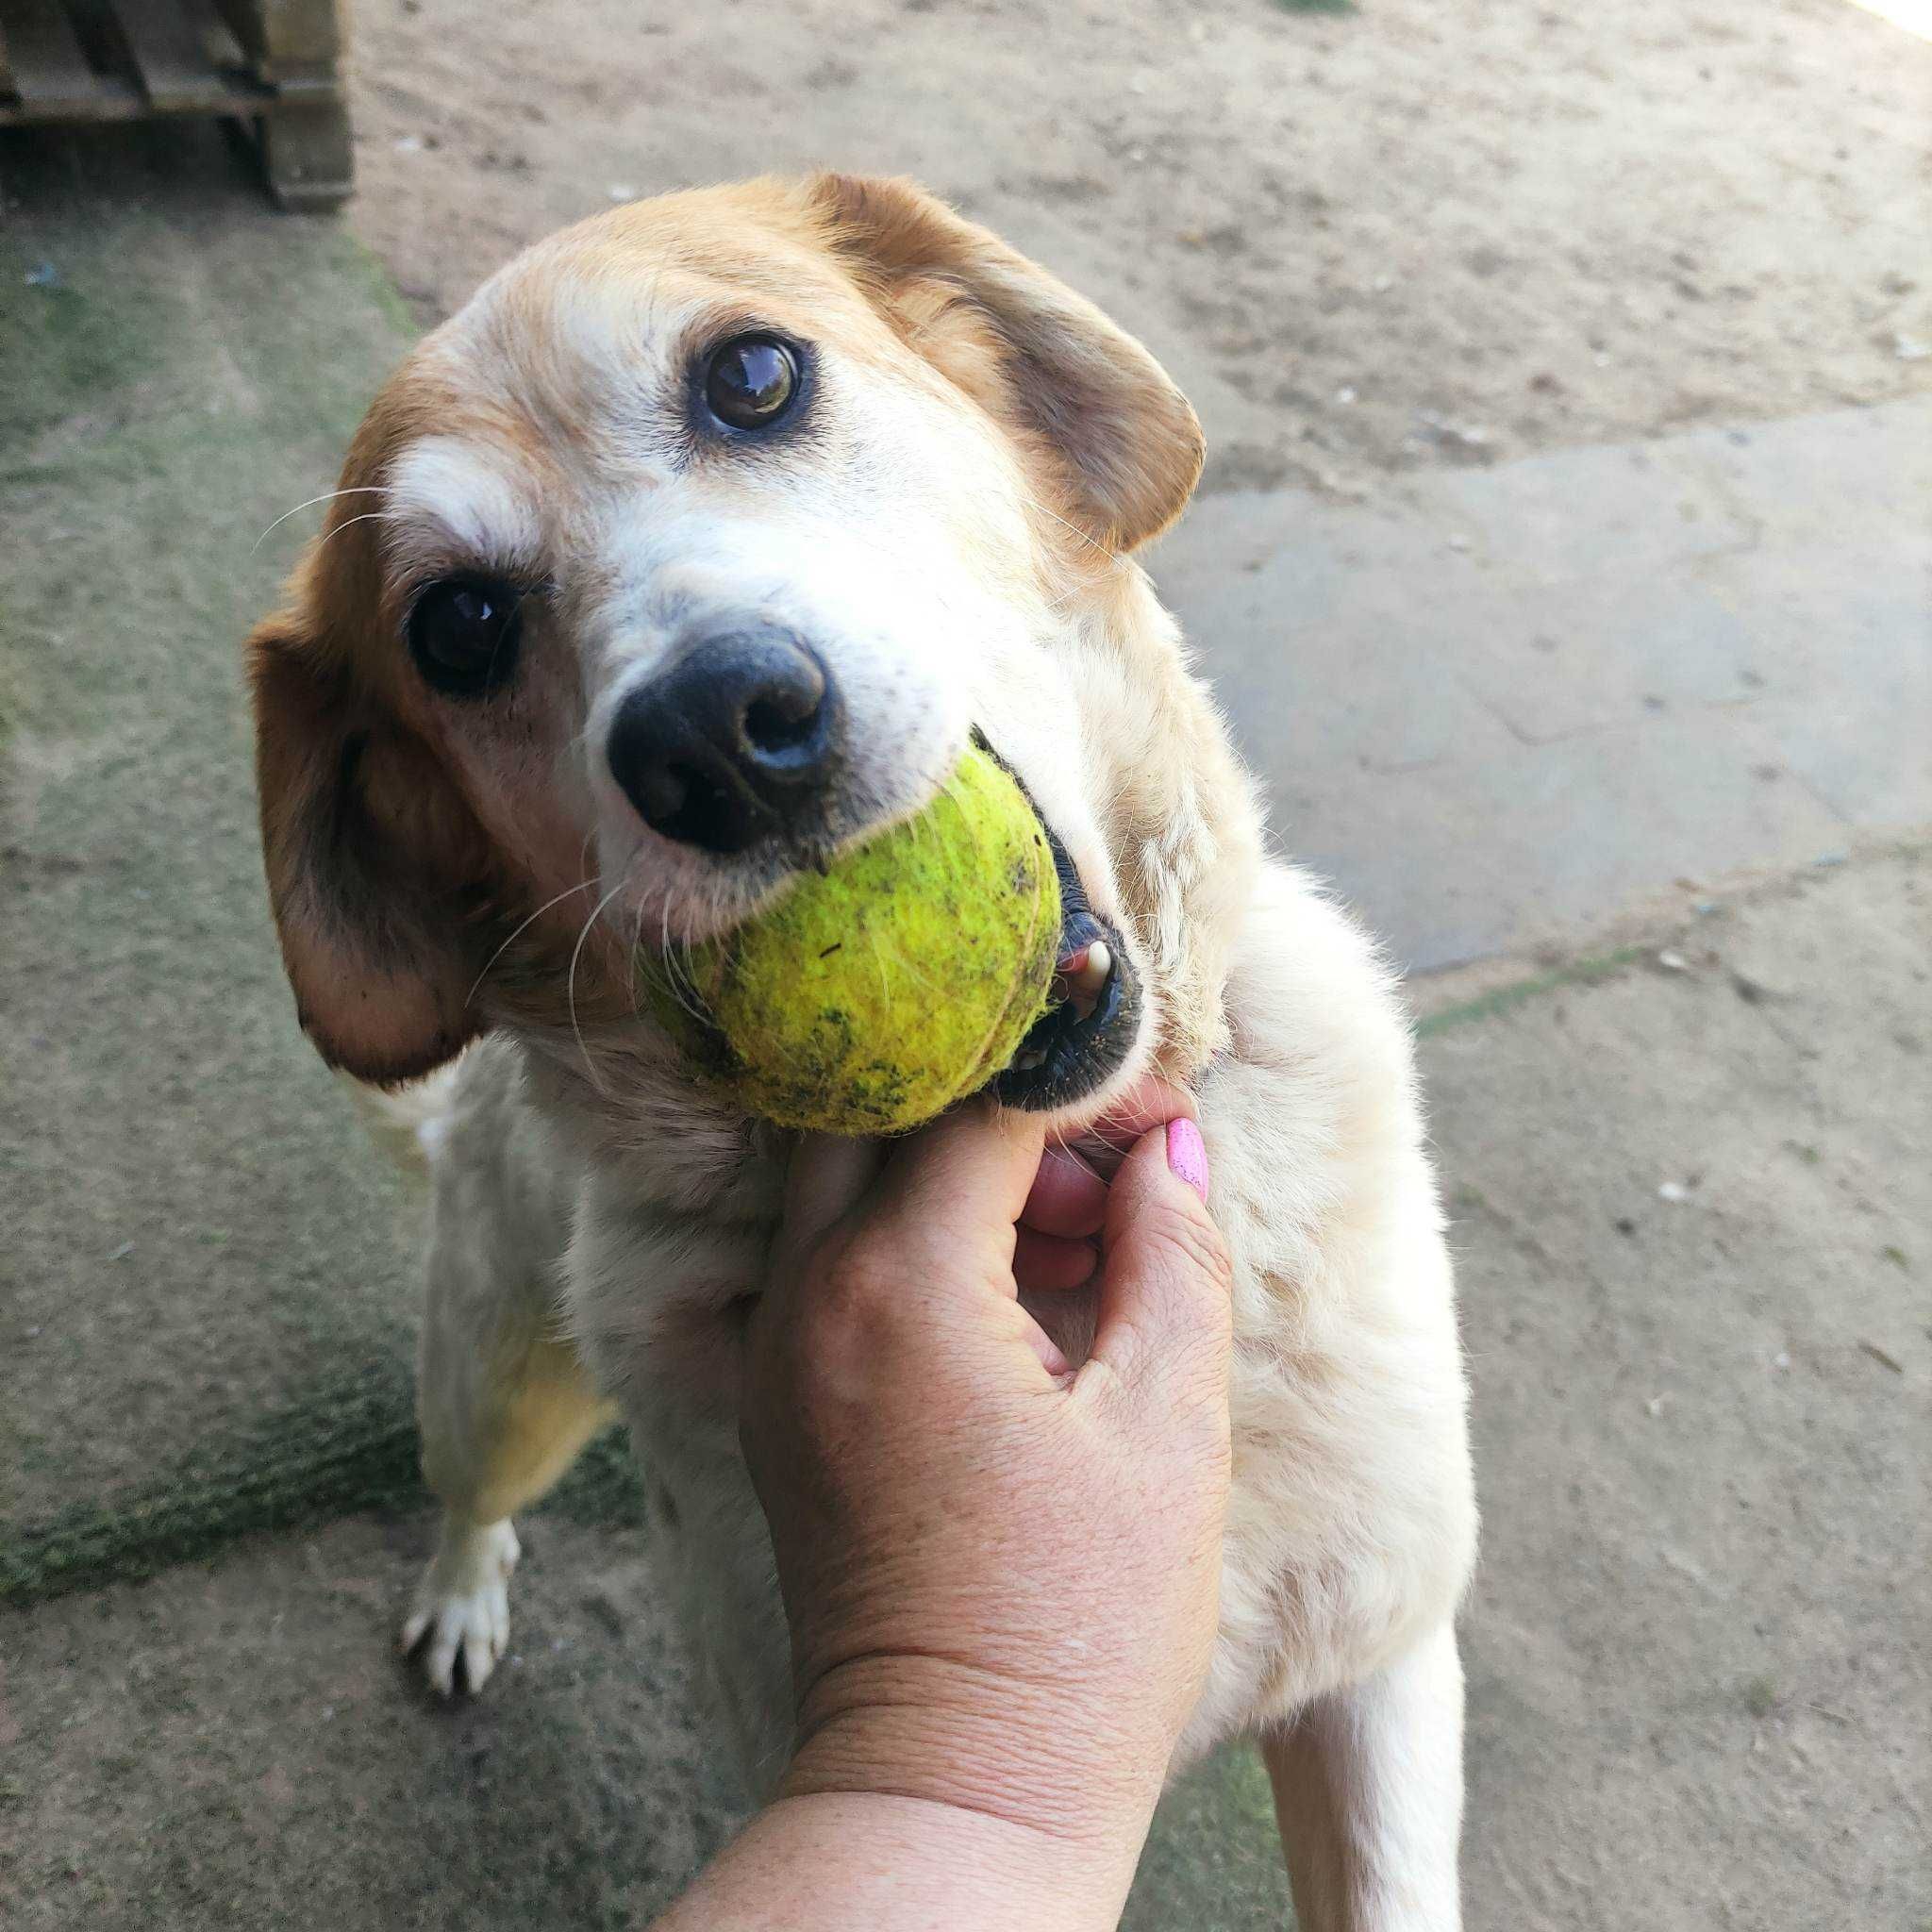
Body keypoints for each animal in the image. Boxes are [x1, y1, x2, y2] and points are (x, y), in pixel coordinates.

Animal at [245, 177, 1475, 1932]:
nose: (712, 733)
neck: (1062, 1181)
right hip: (489, 1370)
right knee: (471, 1495)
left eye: (753, 377)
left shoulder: (1381, 1661)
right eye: (459, 625)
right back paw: (461, 1598)